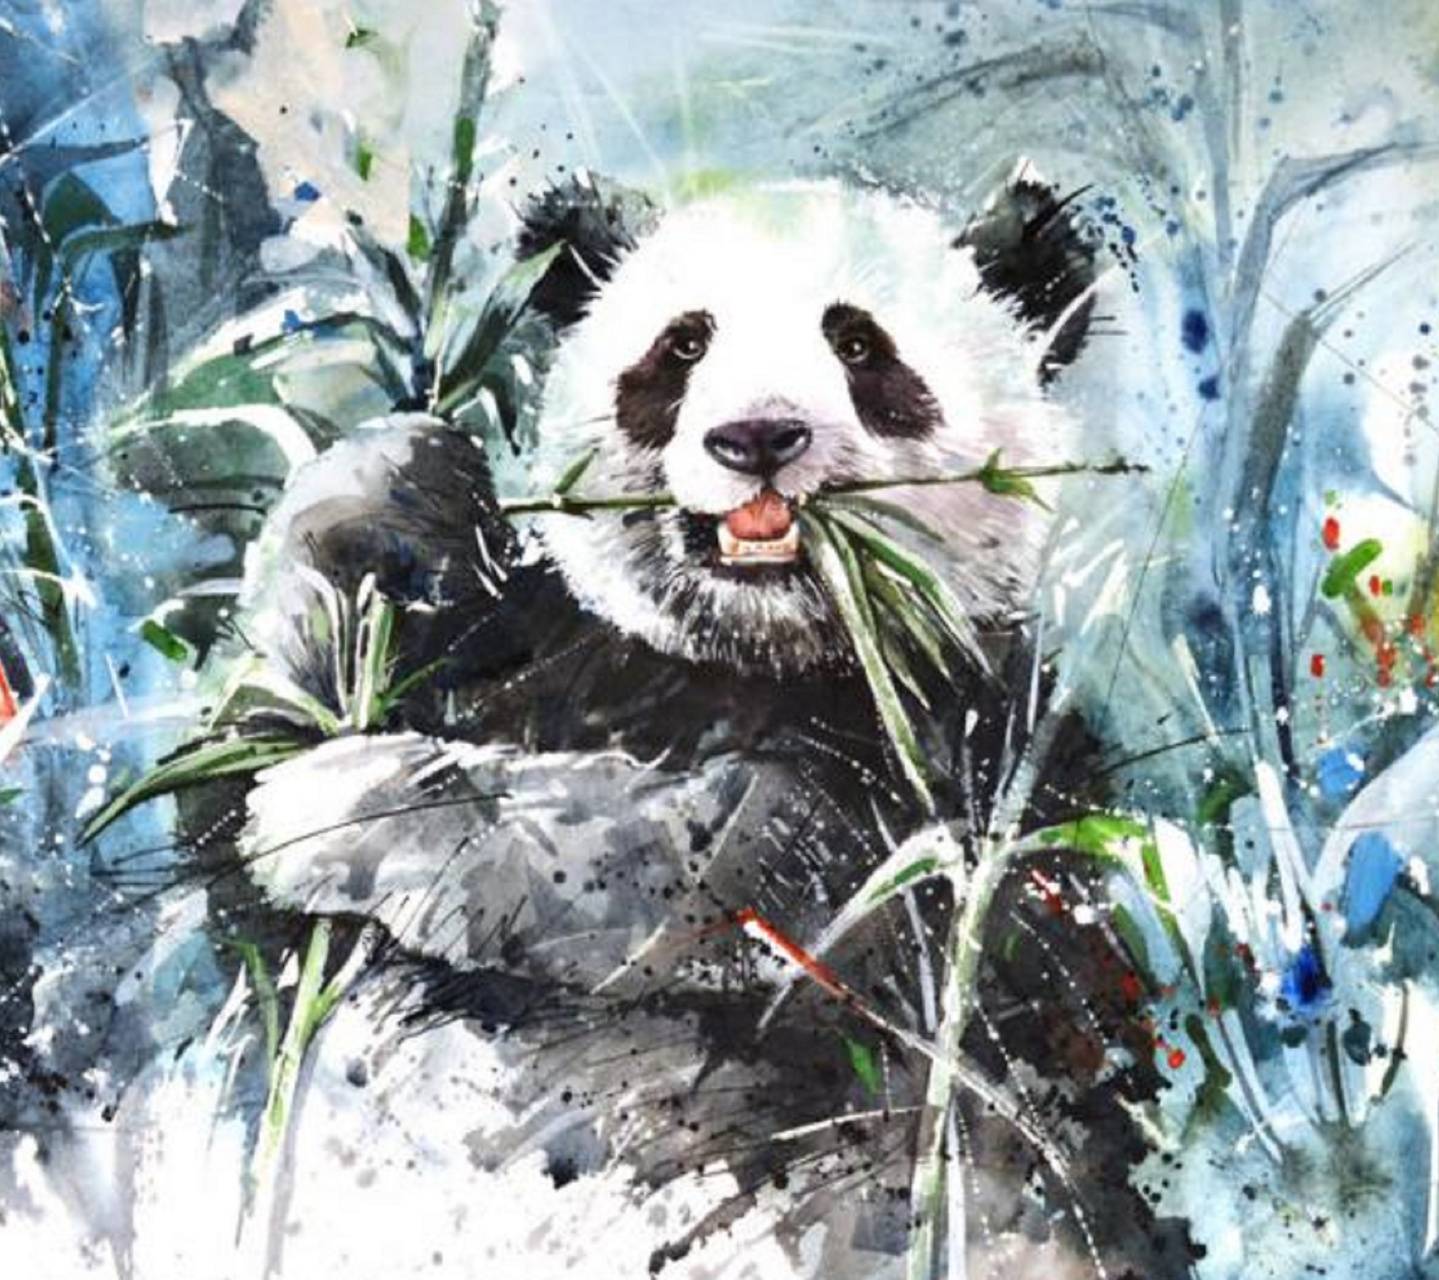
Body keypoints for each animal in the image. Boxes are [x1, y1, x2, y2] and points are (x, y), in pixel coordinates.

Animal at [188, 175, 1188, 1279]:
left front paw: (335, 812)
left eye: (858, 344)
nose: (756, 438)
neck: (741, 653)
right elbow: (233, 785)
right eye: (681, 346)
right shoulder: (538, 643)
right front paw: (413, 481)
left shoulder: (941, 768)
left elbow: (699, 864)